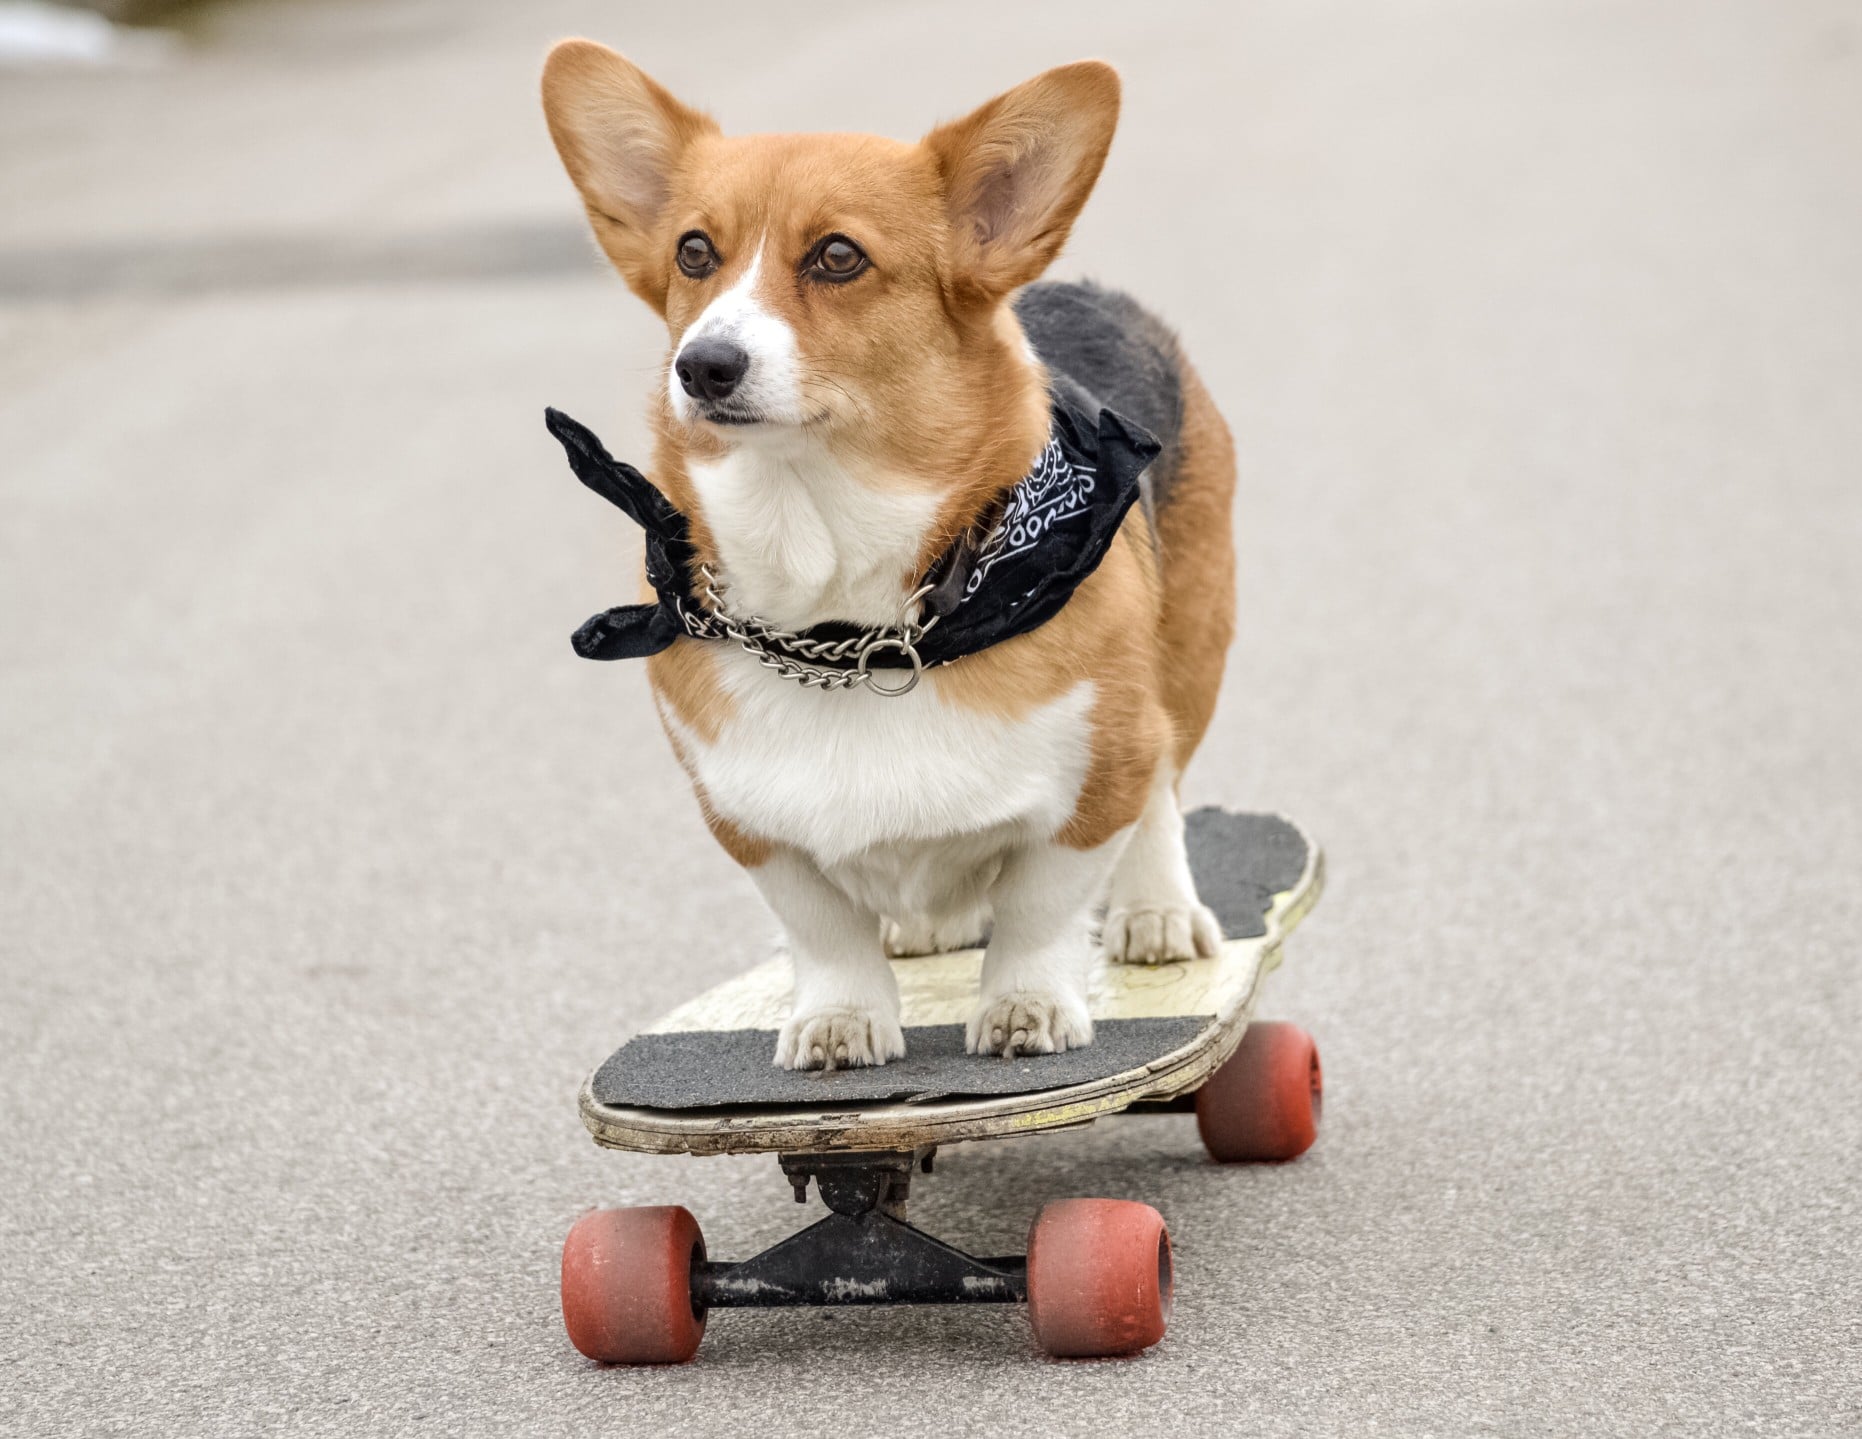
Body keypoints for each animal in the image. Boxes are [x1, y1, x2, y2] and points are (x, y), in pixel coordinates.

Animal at [539, 42, 1236, 1064]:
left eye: (839, 256)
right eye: (693, 252)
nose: (702, 366)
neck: (841, 614)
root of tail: (1082, 287)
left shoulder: (1102, 770)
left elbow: (1041, 904)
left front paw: (1025, 1004)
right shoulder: (748, 822)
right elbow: (823, 929)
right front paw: (840, 1019)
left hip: (1186, 660)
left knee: (1161, 797)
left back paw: (1158, 912)